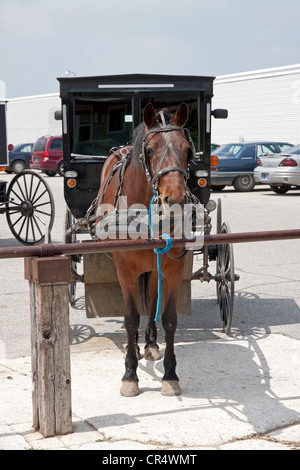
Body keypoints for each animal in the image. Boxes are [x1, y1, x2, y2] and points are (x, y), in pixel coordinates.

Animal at [96, 102, 195, 396]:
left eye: (188, 150)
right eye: (150, 150)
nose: (175, 199)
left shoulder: (173, 267)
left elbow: (169, 317)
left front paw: (170, 375)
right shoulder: (125, 270)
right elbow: (130, 318)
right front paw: (130, 374)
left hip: (154, 266)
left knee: (151, 301)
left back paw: (150, 344)